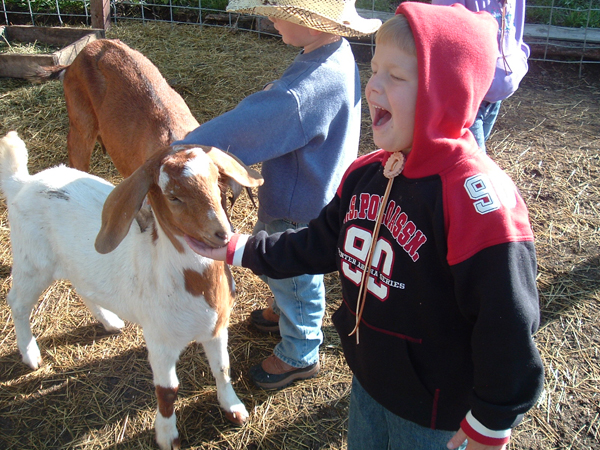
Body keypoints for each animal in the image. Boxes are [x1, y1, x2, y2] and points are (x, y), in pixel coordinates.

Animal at [0, 131, 262, 450]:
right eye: (174, 197)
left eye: (217, 183)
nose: (222, 234)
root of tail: (22, 182)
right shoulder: (159, 340)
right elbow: (167, 391)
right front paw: (167, 436)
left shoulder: (216, 328)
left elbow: (222, 368)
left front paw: (234, 408)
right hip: (32, 261)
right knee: (17, 302)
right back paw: (30, 354)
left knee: (83, 286)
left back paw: (110, 321)